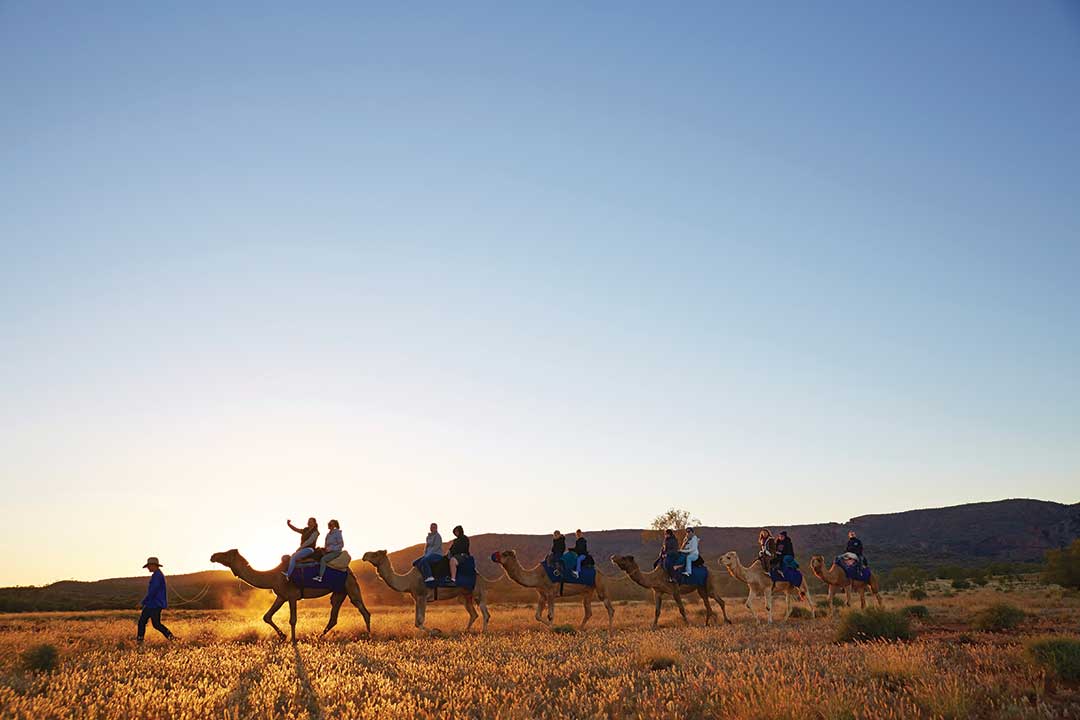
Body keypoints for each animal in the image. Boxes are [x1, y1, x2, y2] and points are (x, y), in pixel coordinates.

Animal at [210, 549, 371, 643]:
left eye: (226, 554)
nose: (213, 556)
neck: (273, 576)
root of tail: (349, 570)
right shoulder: (281, 596)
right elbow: (267, 616)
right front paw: (283, 636)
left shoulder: (292, 596)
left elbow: (292, 620)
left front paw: (293, 640)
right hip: (339, 592)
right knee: (334, 616)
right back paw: (319, 637)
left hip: (350, 585)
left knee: (363, 610)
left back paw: (368, 636)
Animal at [361, 550, 490, 635]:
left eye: (375, 554)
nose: (364, 555)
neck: (408, 581)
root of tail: (479, 574)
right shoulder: (416, 598)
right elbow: (416, 622)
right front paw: (435, 631)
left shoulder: (422, 596)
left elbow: (420, 620)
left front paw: (435, 631)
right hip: (464, 595)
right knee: (473, 613)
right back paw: (466, 631)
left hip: (477, 591)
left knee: (485, 613)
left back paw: (483, 632)